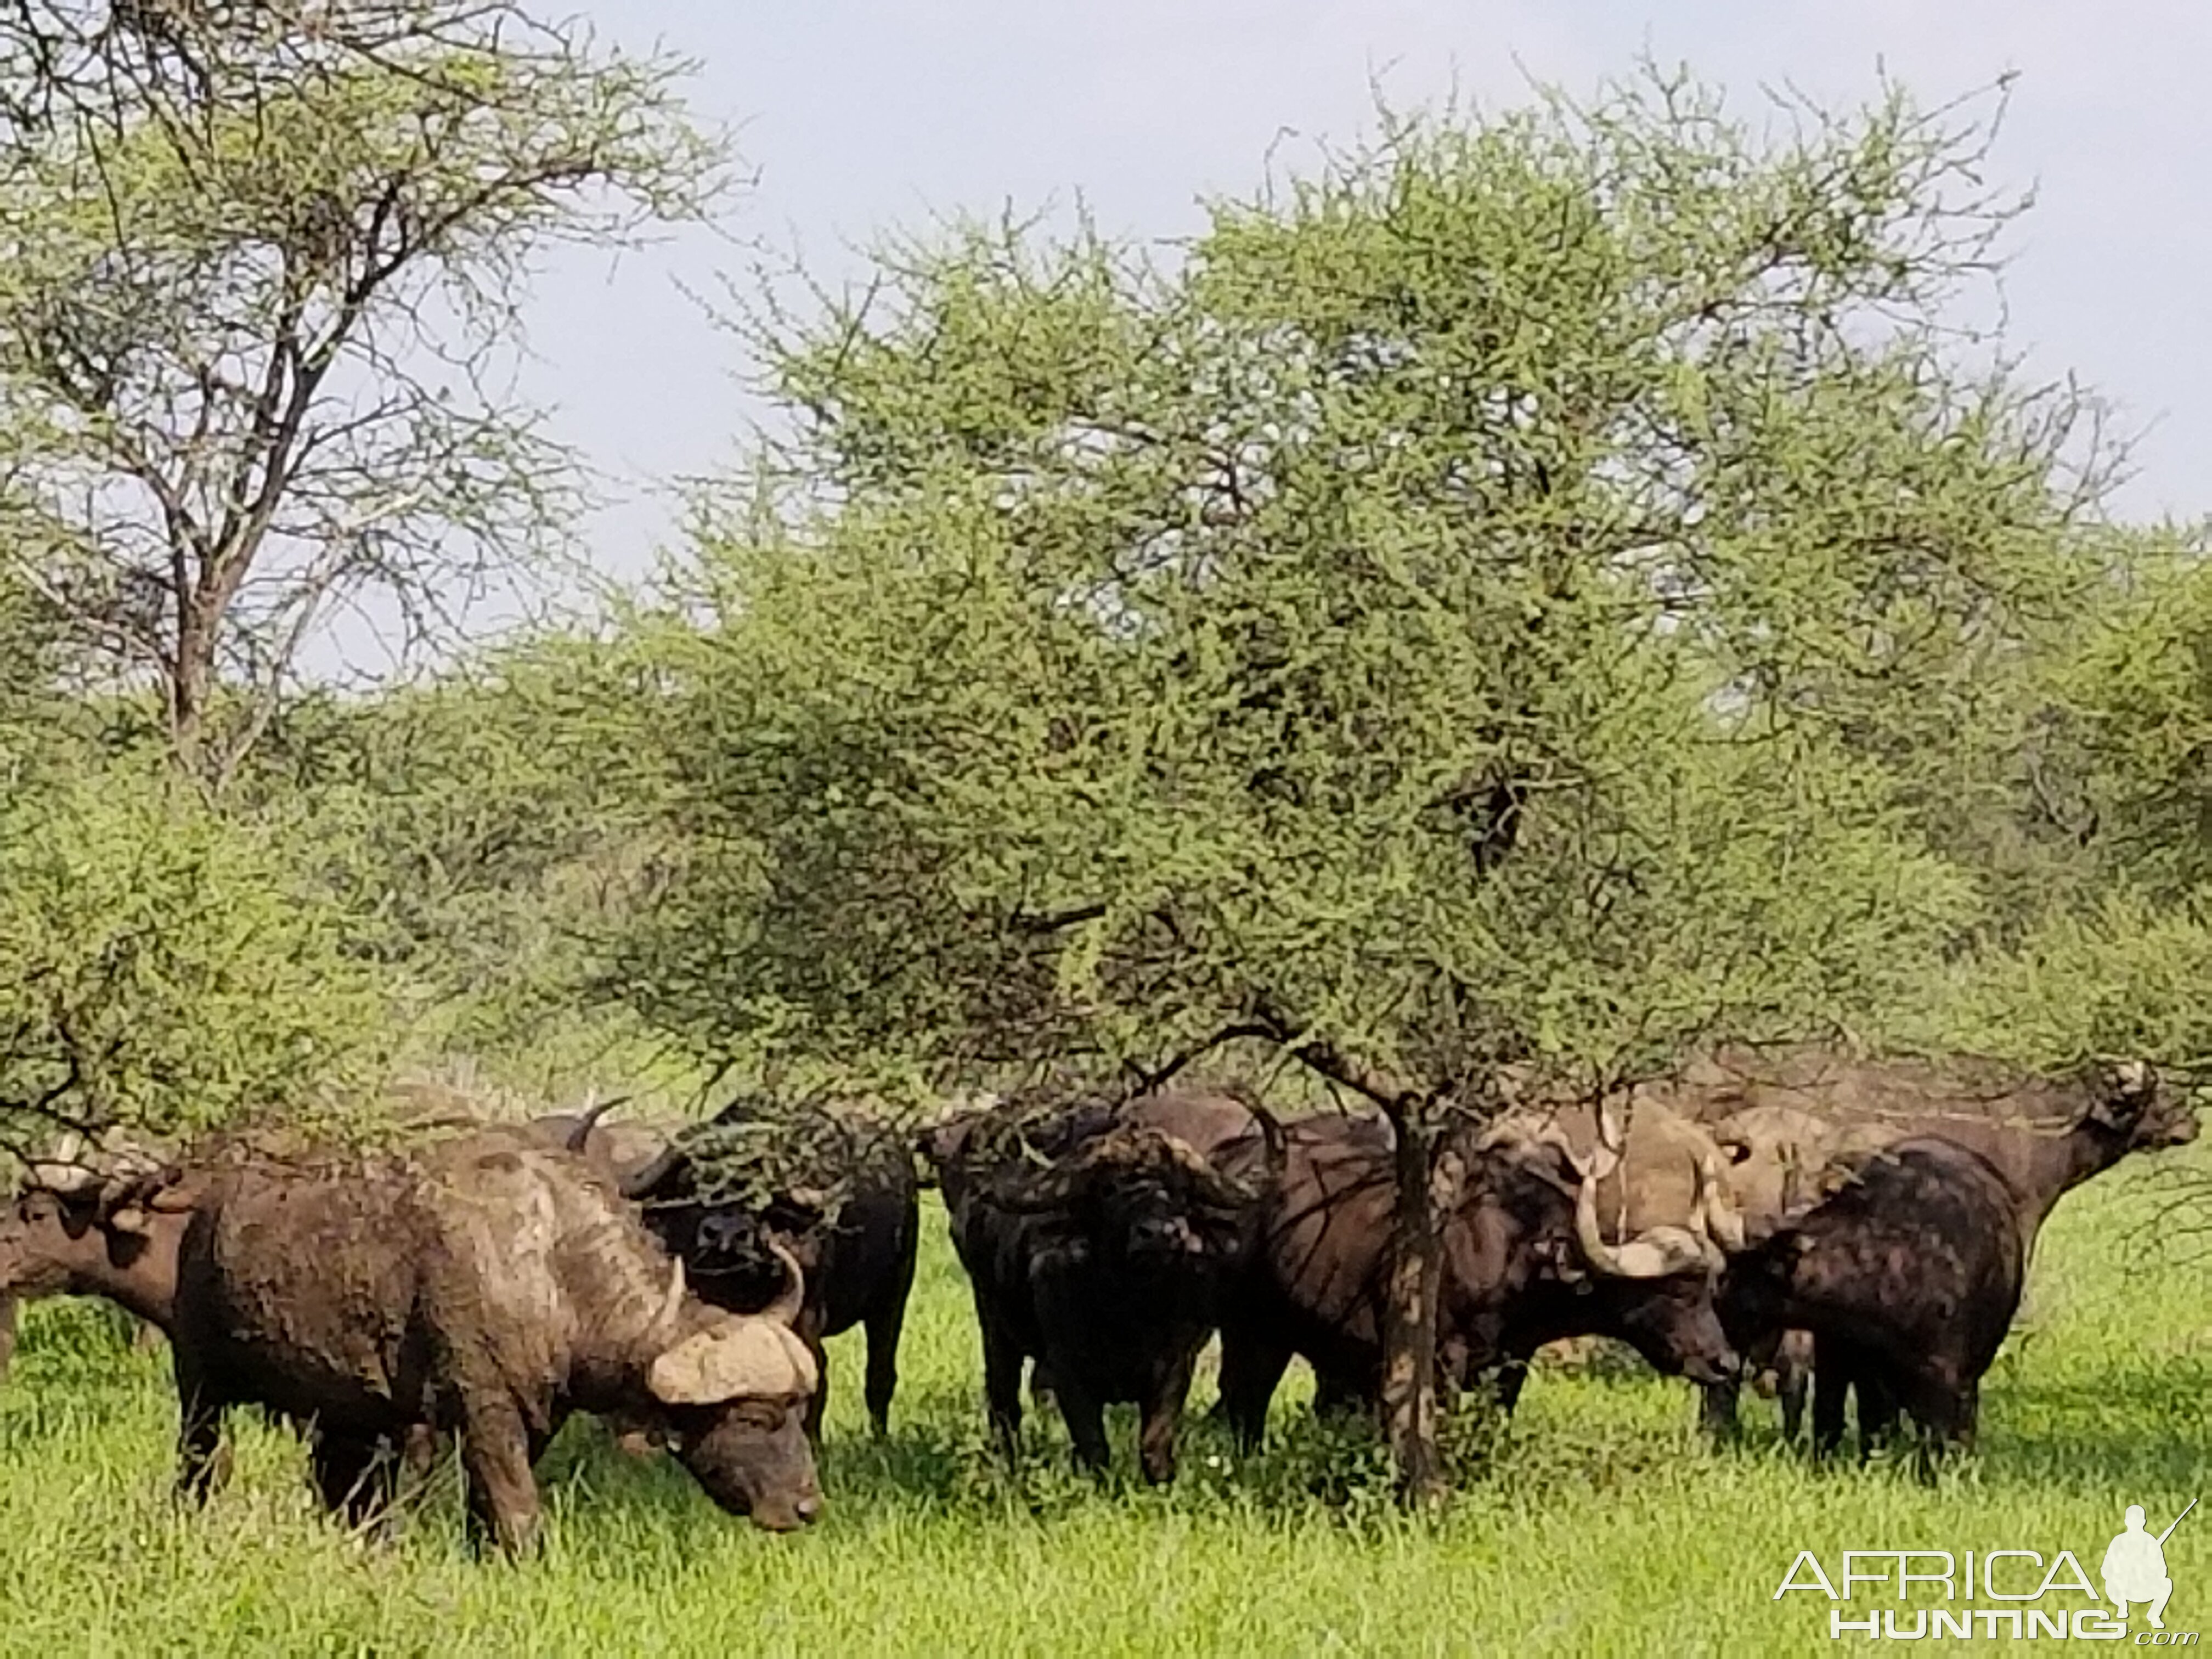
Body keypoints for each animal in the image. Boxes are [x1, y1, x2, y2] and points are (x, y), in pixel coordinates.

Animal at [2, 1141, 832, 1557]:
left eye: (799, 1410)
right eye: (754, 1418)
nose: (806, 1505)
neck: (551, 1268)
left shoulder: (526, 1419)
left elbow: (485, 1512)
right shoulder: (483, 1410)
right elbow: (519, 1513)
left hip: (347, 1415)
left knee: (346, 1493)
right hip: (204, 1387)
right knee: (203, 1467)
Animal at [924, 1097, 1291, 1486]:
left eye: (1179, 1190)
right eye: (1109, 1189)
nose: (1160, 1234)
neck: (1129, 1313)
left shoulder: (1175, 1367)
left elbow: (1154, 1442)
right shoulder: (1069, 1371)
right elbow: (1093, 1443)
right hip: (995, 1328)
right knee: (1004, 1401)